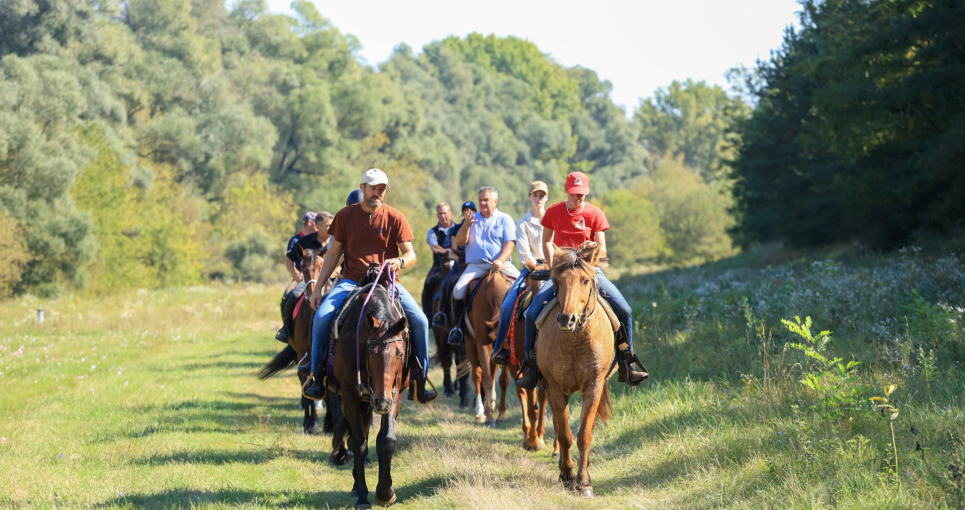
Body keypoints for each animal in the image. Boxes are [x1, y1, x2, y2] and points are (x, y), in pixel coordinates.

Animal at [462, 270, 512, 426]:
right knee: (477, 375)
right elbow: (487, 381)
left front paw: (501, 414)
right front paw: (489, 417)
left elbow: (503, 381)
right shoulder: (483, 344)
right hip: (470, 345)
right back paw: (480, 412)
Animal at [540, 243, 612, 498]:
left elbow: (584, 434)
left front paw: (584, 481)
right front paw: (567, 475)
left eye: (585, 280)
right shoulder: (556, 389)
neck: (576, 341)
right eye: (557, 282)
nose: (566, 319)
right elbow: (564, 435)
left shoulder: (593, 386)